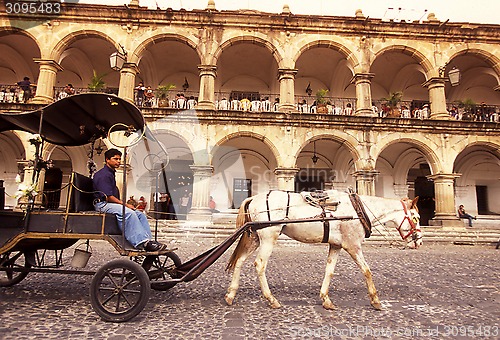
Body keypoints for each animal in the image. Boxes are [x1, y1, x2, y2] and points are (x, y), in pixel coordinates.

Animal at [225, 190, 420, 312]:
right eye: (416, 218)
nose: (419, 241)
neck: (358, 210)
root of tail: (254, 198)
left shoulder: (336, 245)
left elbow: (329, 271)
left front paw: (326, 299)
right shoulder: (353, 245)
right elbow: (367, 271)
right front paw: (375, 300)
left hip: (255, 238)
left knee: (240, 260)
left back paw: (231, 294)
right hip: (268, 237)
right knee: (260, 265)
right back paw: (271, 299)